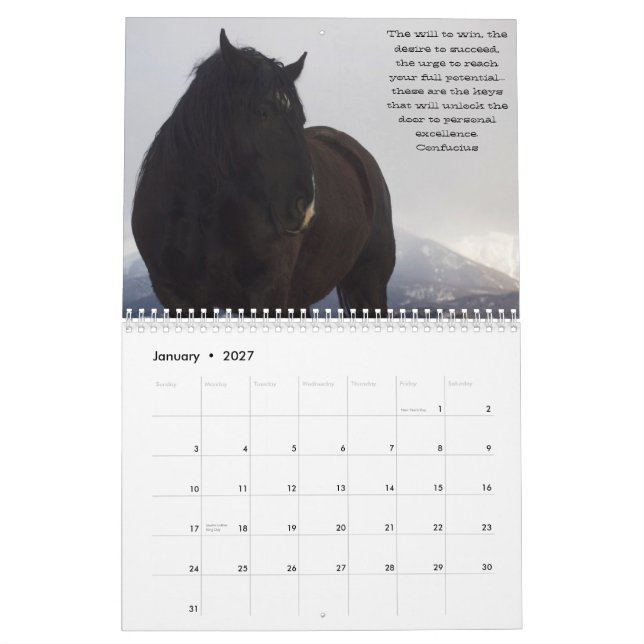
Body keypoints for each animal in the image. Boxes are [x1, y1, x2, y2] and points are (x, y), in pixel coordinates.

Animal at [131, 29, 395, 316]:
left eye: (301, 119)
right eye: (263, 112)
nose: (305, 208)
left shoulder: (268, 291)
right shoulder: (177, 297)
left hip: (369, 284)